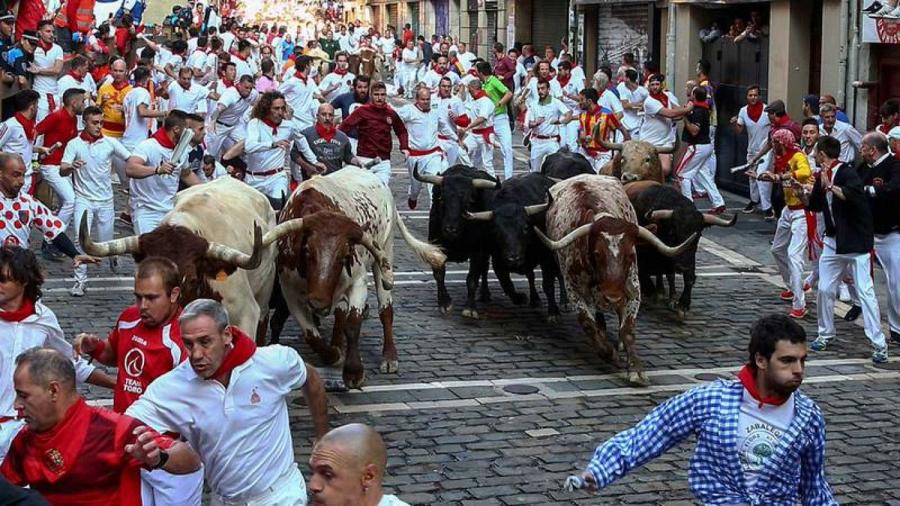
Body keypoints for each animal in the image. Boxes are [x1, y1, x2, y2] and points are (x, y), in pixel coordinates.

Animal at [268, 166, 448, 388]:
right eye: (307, 250)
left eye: (345, 255)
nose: (318, 303)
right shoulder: (289, 291)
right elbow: (312, 335)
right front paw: (334, 354)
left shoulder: (358, 281)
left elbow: (354, 323)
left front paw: (354, 371)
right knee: (340, 313)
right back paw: (337, 343)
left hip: (385, 254)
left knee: (385, 310)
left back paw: (389, 357)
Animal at [536, 174, 696, 384]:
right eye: (597, 253)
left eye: (630, 254)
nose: (612, 297)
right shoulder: (574, 290)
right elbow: (588, 324)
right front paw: (608, 352)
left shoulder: (633, 289)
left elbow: (627, 329)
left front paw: (635, 368)